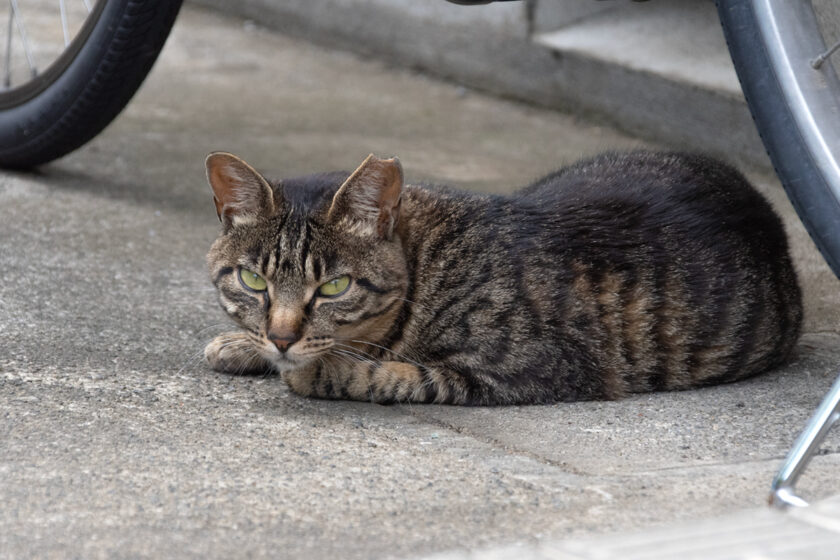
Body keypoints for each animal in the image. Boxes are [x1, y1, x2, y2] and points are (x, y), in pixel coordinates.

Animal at [202, 151, 800, 404]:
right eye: (253, 281)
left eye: (333, 287)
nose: (282, 337)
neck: (430, 264)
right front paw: (243, 342)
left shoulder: (529, 368)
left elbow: (392, 373)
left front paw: (315, 370)